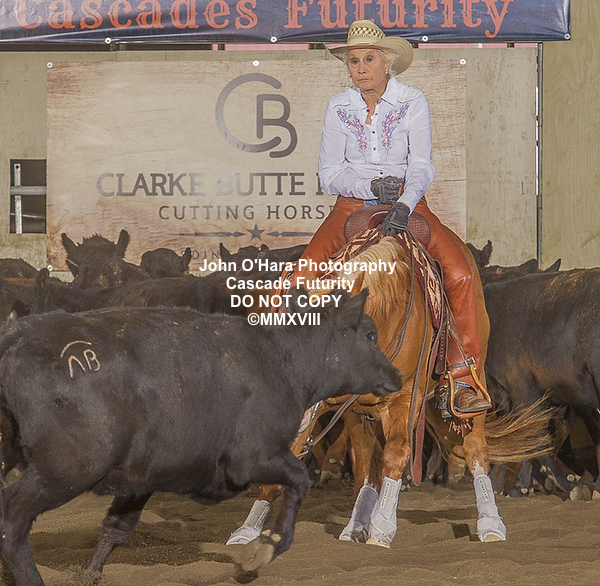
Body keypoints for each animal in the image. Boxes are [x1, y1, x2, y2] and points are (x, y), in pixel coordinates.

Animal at [0, 290, 402, 585]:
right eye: (370, 335)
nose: (396, 375)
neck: (282, 361)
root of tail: (17, 335)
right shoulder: (252, 457)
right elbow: (298, 481)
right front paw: (266, 547)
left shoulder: (141, 477)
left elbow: (116, 529)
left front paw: (88, 574)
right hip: (67, 468)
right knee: (13, 517)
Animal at [227, 230, 552, 549]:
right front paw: (248, 530)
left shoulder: (405, 398)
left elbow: (396, 454)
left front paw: (382, 527)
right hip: (358, 413)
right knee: (365, 460)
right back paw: (354, 525)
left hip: (474, 381)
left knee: (474, 447)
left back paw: (490, 523)